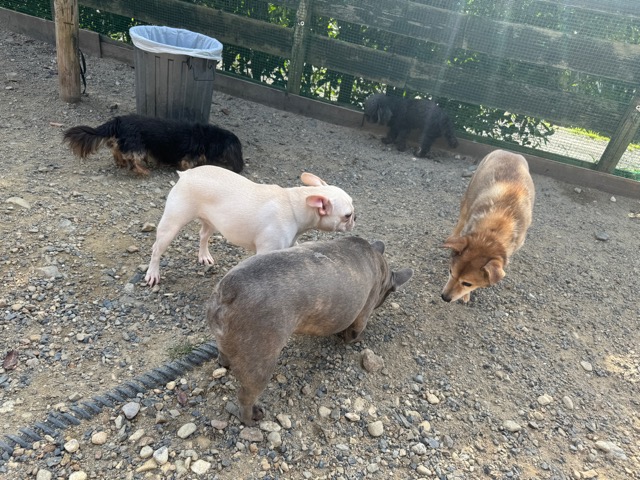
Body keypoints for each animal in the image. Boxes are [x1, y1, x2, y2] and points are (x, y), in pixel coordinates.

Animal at [63, 114, 243, 175]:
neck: (209, 137)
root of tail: (119, 120)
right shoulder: (189, 157)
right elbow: (189, 165)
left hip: (127, 141)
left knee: (117, 149)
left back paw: (120, 162)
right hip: (137, 144)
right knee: (132, 159)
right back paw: (142, 170)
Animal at [144, 166, 356, 286]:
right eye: (347, 215)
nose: (355, 217)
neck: (295, 205)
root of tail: (186, 174)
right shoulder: (266, 249)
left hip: (212, 221)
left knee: (203, 235)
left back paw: (204, 255)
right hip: (172, 224)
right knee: (156, 249)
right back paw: (153, 273)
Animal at [207, 236, 413, 425]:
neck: (378, 262)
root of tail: (226, 292)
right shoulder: (362, 315)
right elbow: (354, 333)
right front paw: (356, 338)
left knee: (224, 353)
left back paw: (224, 362)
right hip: (260, 362)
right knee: (245, 396)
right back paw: (251, 417)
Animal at [441, 149, 535, 303]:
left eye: (467, 283)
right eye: (450, 272)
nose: (444, 297)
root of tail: (509, 152)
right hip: (467, 199)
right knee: (460, 223)